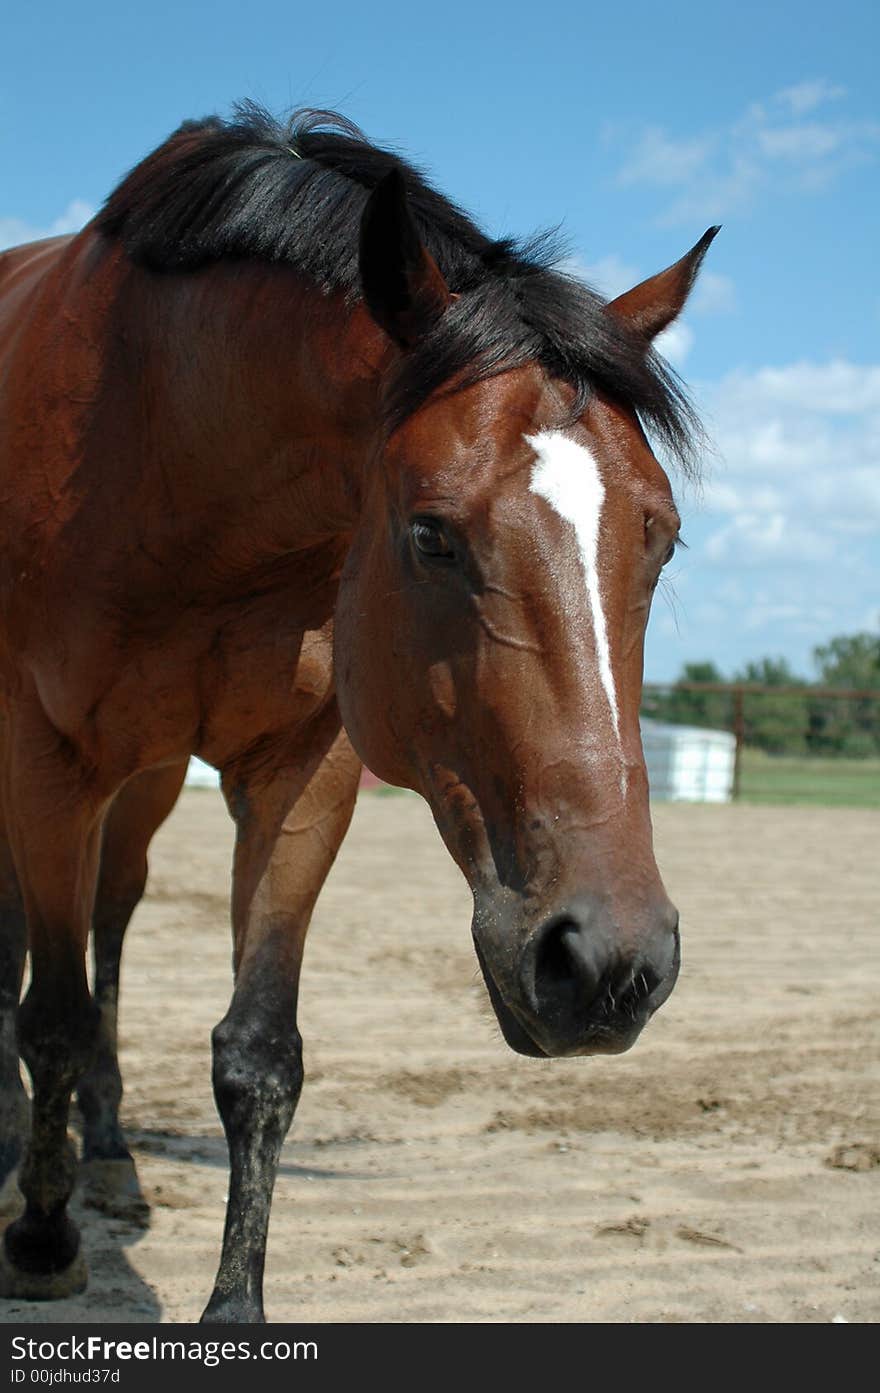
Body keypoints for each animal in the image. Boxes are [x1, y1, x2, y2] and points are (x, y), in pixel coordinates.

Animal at [0, 103, 712, 1320]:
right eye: (431, 533)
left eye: (659, 535)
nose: (610, 963)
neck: (160, 435)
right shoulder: (48, 762)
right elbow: (48, 1014)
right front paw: (43, 1243)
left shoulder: (304, 772)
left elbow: (257, 1052)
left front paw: (233, 1307)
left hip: (147, 784)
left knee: (113, 922)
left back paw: (111, 1155)